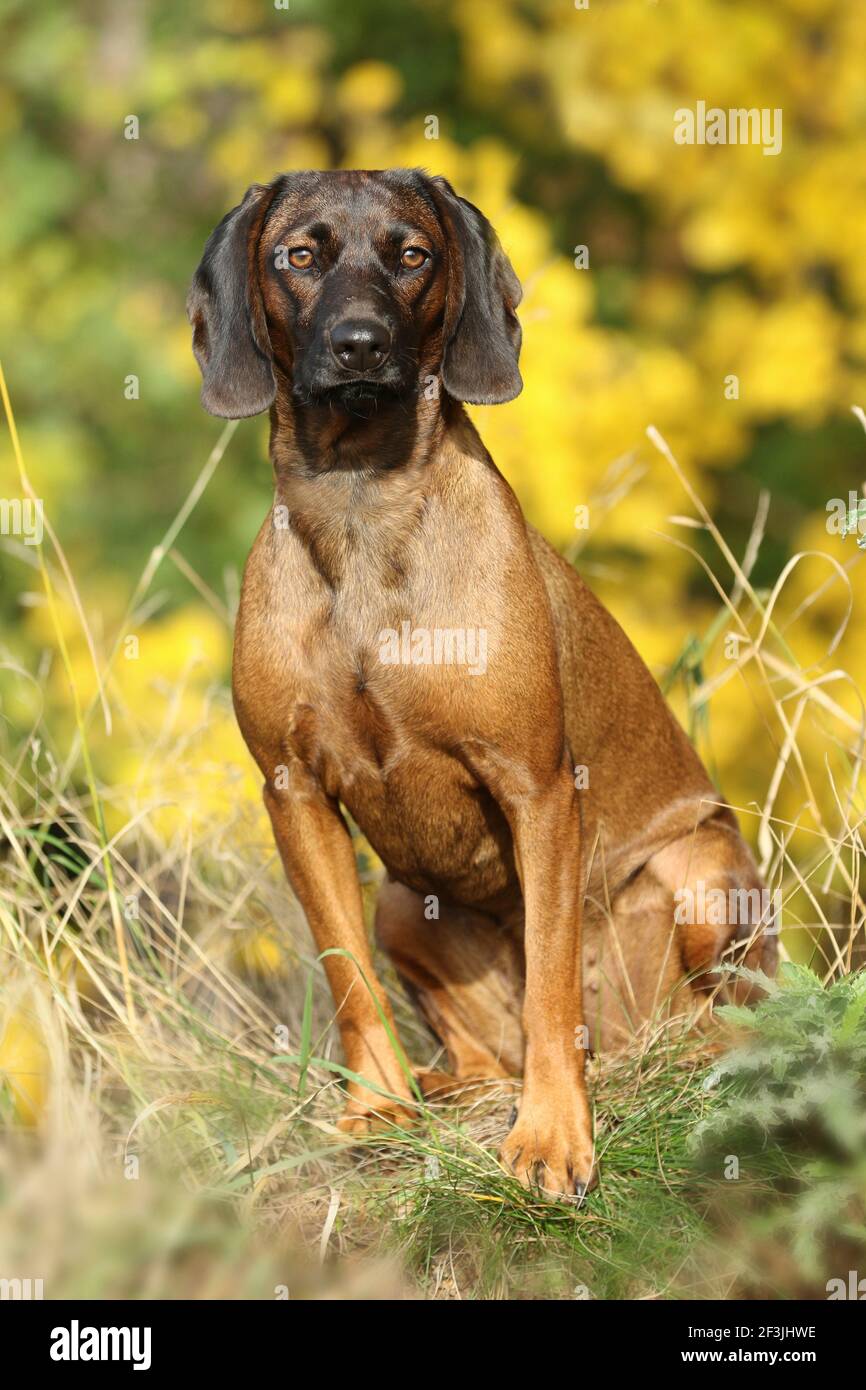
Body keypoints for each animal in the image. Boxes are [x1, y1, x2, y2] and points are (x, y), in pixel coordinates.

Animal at [186, 170, 778, 1195]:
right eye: (297, 255)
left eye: (411, 255)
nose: (360, 344)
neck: (363, 507)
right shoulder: (293, 792)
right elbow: (348, 980)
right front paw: (377, 1109)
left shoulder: (537, 787)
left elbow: (549, 984)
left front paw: (551, 1139)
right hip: (400, 901)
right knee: (475, 1052)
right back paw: (440, 1086)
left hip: (702, 874)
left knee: (711, 1024)